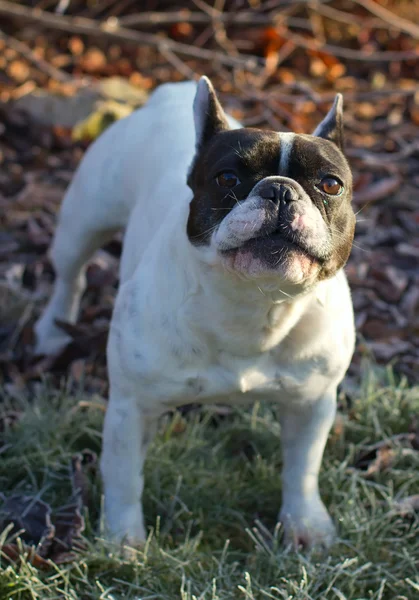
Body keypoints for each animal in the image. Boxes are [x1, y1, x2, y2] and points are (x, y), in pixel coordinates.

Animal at [37, 77, 358, 552]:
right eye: (227, 178)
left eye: (331, 184)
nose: (280, 189)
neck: (252, 303)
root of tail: (170, 92)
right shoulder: (132, 407)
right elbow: (123, 478)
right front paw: (122, 541)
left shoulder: (312, 403)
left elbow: (302, 469)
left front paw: (306, 524)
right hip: (84, 221)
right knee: (70, 274)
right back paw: (52, 330)